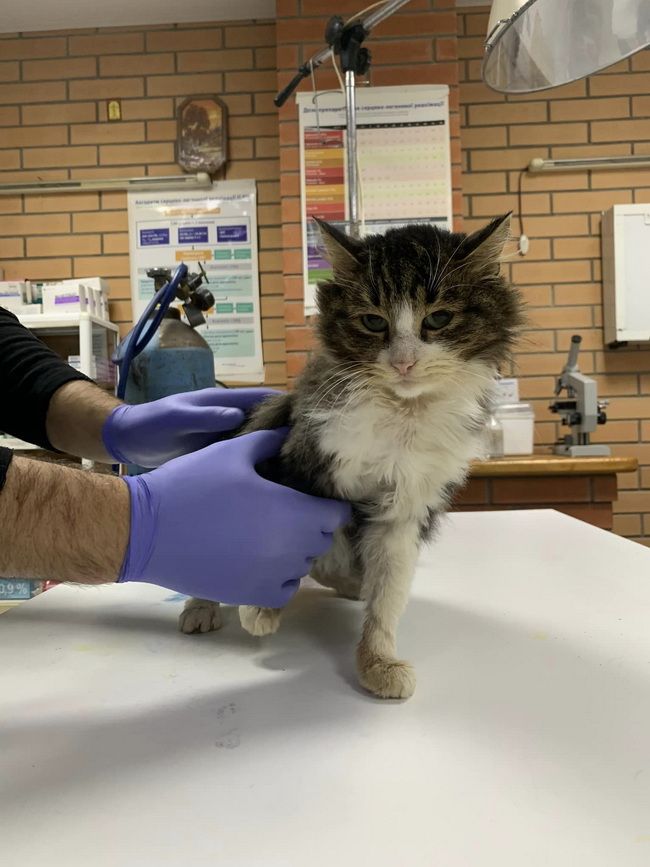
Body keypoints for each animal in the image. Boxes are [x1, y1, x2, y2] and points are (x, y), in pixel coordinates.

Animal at [179, 214, 523, 700]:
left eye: (438, 318)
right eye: (373, 322)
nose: (403, 363)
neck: (401, 414)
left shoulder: (404, 509)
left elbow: (387, 597)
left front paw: (377, 662)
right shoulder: (294, 455)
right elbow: (270, 548)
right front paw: (260, 608)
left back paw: (350, 584)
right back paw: (201, 606)